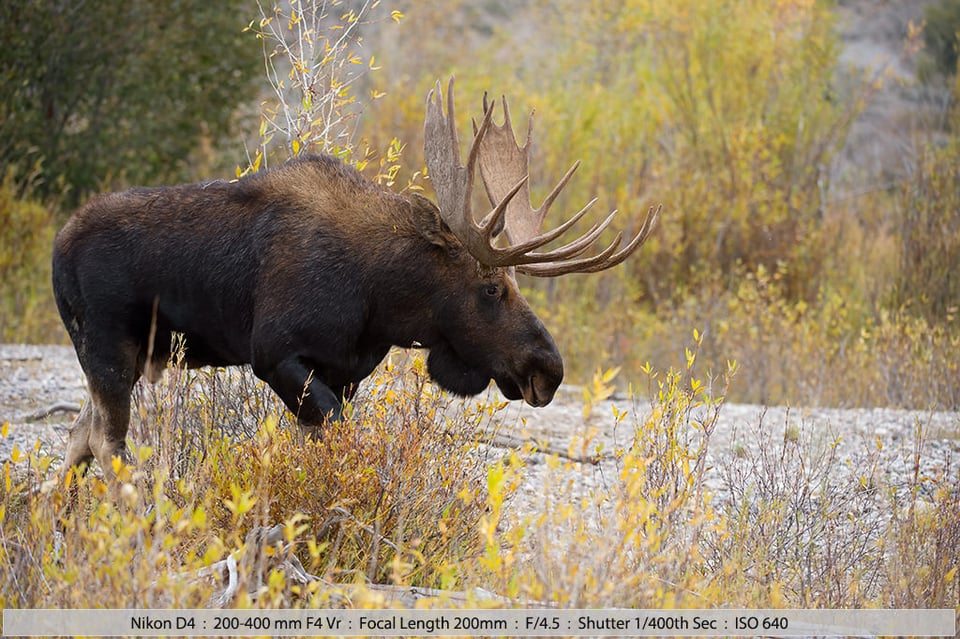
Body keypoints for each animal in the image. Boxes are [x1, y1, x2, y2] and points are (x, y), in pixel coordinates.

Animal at [48, 77, 656, 480]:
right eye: (491, 288)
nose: (548, 369)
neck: (382, 302)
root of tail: (56, 247)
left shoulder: (343, 372)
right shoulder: (274, 353)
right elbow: (340, 436)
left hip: (124, 357)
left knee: (79, 434)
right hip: (107, 345)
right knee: (106, 440)